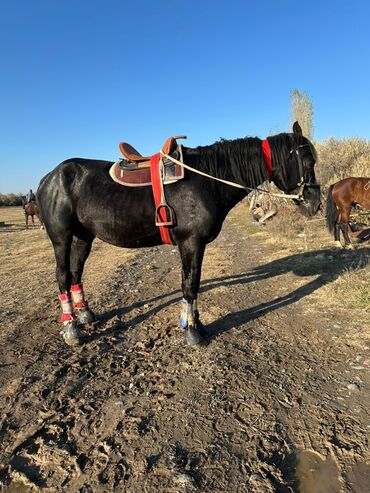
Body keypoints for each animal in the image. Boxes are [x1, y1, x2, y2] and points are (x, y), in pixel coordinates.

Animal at [36, 122, 320, 346]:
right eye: (308, 162)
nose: (315, 203)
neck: (208, 180)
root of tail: (48, 177)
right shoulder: (191, 243)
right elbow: (190, 285)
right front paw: (192, 331)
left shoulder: (197, 245)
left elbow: (194, 283)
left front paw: (197, 324)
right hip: (61, 238)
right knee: (63, 276)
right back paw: (71, 327)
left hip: (84, 237)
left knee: (76, 272)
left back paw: (84, 314)